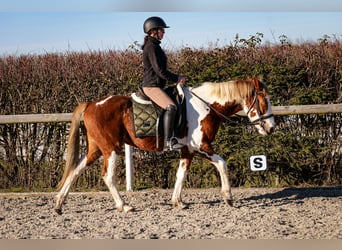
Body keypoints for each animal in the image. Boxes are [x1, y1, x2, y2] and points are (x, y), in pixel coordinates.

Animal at [55, 75, 276, 213]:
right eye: (264, 101)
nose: (271, 127)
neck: (206, 105)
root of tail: (92, 104)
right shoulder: (201, 146)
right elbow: (222, 163)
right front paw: (228, 197)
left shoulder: (188, 150)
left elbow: (181, 174)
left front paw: (178, 201)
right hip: (110, 149)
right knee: (107, 176)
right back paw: (124, 206)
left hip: (96, 149)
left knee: (76, 169)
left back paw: (59, 204)